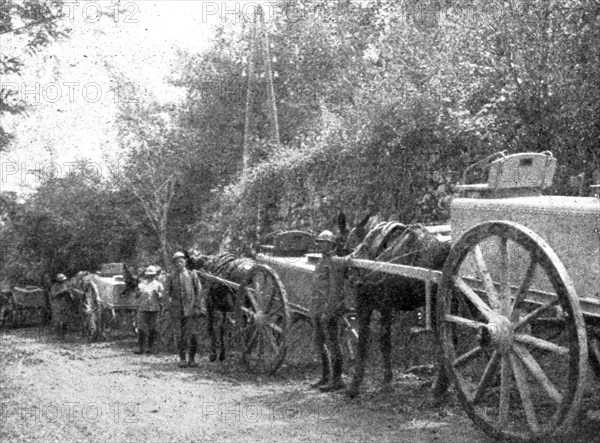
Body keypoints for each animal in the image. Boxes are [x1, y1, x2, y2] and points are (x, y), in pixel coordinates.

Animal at [342, 218, 450, 398]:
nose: (349, 275)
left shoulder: (368, 303)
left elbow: (367, 342)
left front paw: (356, 384)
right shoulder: (386, 305)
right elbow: (384, 341)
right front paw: (387, 380)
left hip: (437, 309)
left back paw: (438, 389)